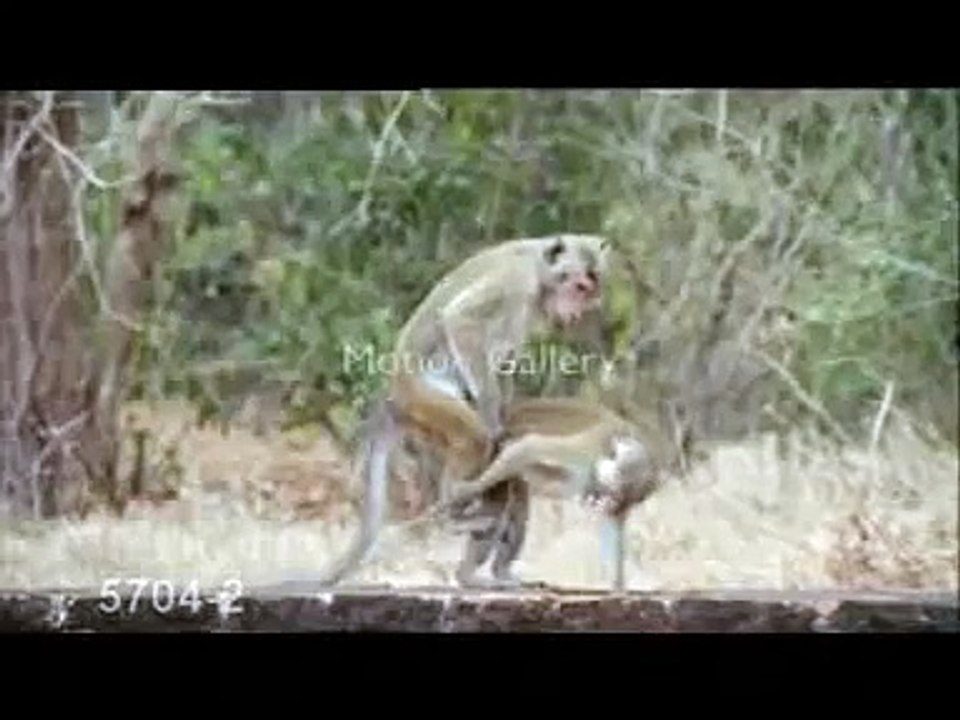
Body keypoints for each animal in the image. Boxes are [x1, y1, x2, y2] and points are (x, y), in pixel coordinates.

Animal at [316, 235, 611, 586]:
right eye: (579, 286)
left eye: (590, 289)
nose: (578, 311)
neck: (539, 270)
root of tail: (393, 397)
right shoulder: (514, 282)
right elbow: (461, 322)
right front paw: (492, 416)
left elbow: (506, 361)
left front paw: (505, 414)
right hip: (425, 399)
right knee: (474, 437)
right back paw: (453, 509)